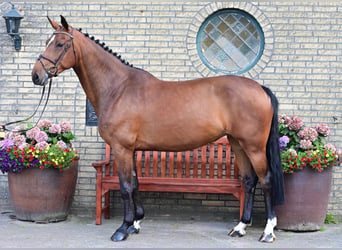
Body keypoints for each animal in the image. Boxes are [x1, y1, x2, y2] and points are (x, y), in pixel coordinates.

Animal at [31, 15, 284, 242]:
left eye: (60, 44)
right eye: (47, 41)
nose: (36, 75)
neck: (118, 89)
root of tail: (260, 88)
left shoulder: (122, 148)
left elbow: (125, 187)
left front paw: (122, 229)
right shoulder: (131, 150)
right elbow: (135, 184)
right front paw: (135, 224)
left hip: (254, 147)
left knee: (266, 180)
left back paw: (268, 231)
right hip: (237, 143)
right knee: (249, 181)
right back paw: (240, 227)